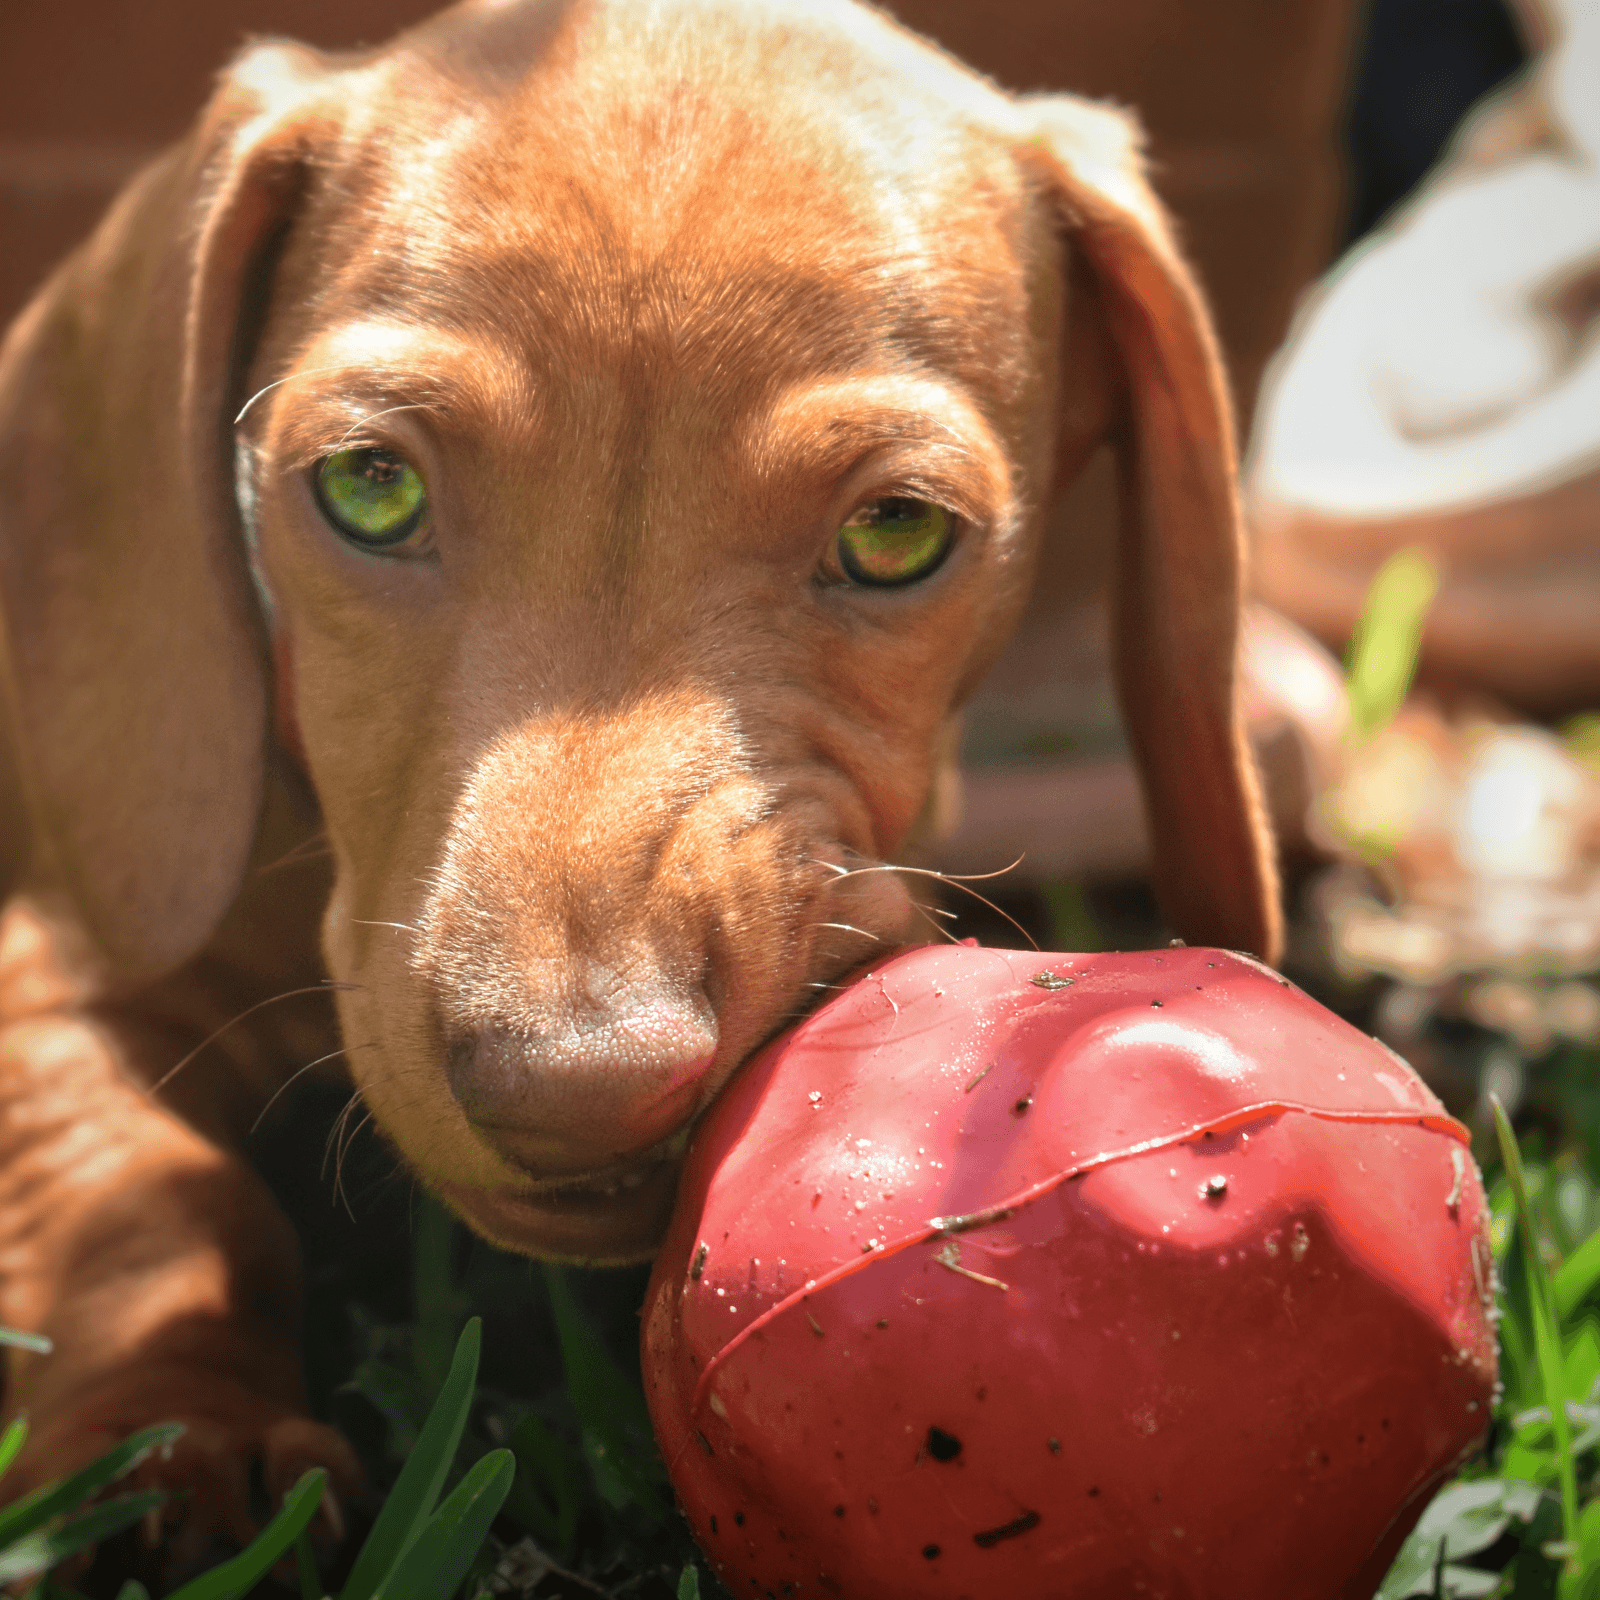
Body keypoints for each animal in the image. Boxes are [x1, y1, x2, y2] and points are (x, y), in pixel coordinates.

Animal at [0, 0, 1273, 1555]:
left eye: (898, 532)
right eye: (368, 487)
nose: (578, 1093)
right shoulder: (63, 954)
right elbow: (142, 1193)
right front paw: (175, 1438)